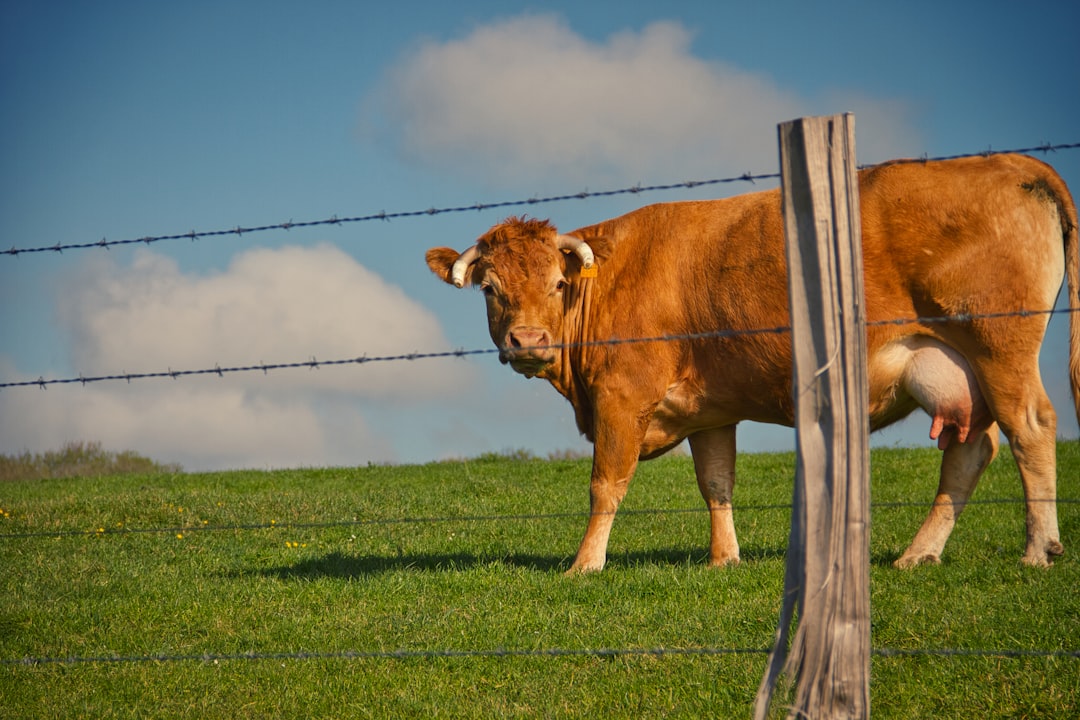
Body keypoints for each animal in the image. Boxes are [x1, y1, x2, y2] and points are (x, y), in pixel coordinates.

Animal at [427, 153, 1080, 574]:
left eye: (559, 284)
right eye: (490, 289)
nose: (528, 339)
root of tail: (1012, 162)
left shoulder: (621, 396)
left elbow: (605, 485)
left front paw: (584, 565)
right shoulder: (710, 410)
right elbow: (717, 483)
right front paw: (725, 559)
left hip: (1000, 349)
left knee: (1031, 429)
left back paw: (1039, 550)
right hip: (956, 371)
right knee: (971, 453)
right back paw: (919, 554)